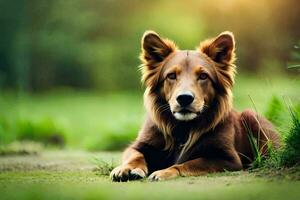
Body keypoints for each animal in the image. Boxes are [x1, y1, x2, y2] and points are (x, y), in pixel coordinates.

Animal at [110, 30, 282, 181]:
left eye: (203, 76)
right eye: (171, 76)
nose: (184, 98)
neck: (182, 128)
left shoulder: (227, 158)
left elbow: (186, 163)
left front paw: (164, 172)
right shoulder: (139, 145)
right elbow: (135, 155)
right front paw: (127, 168)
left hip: (250, 115)